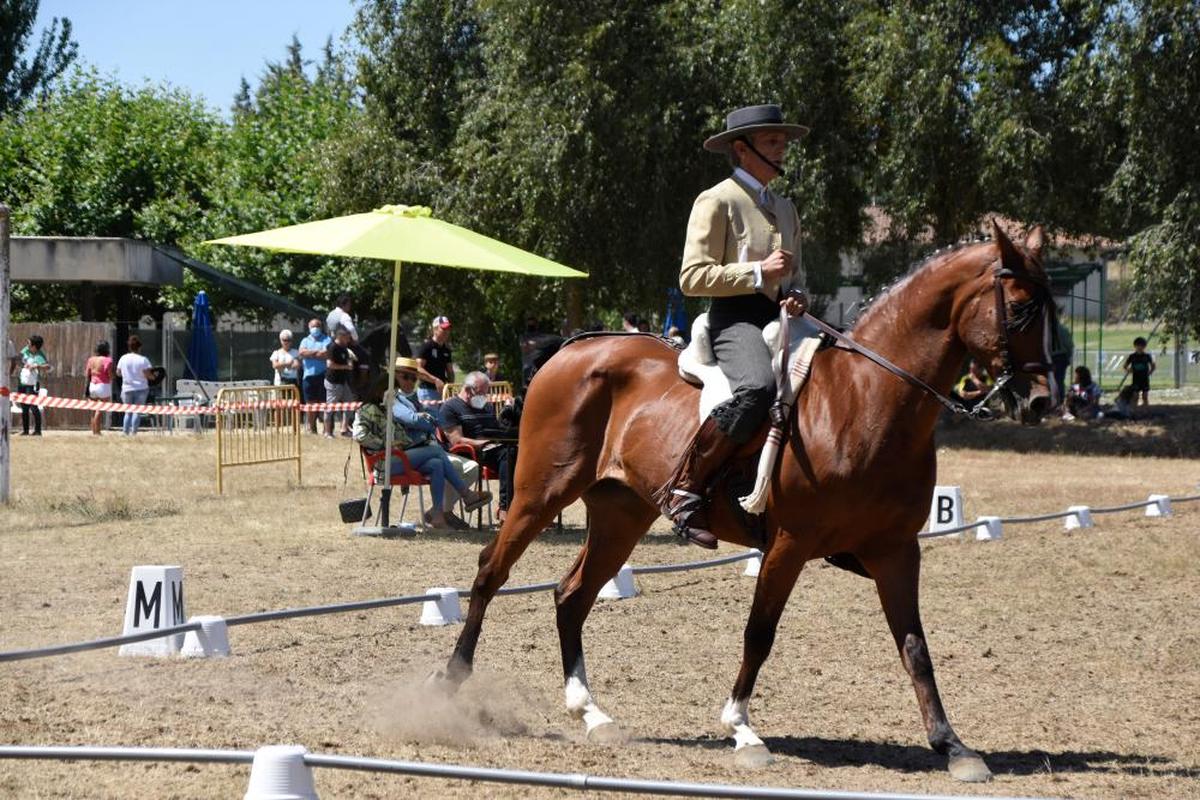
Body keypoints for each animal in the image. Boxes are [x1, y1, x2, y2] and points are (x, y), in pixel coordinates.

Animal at [439, 224, 1051, 782]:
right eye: (1022, 309)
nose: (1041, 402)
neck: (868, 400)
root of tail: (575, 348)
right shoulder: (789, 545)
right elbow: (759, 633)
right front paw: (743, 730)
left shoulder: (896, 551)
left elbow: (915, 646)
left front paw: (953, 746)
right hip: (540, 494)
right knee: (491, 571)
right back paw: (449, 681)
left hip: (621, 513)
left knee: (572, 594)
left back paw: (592, 714)